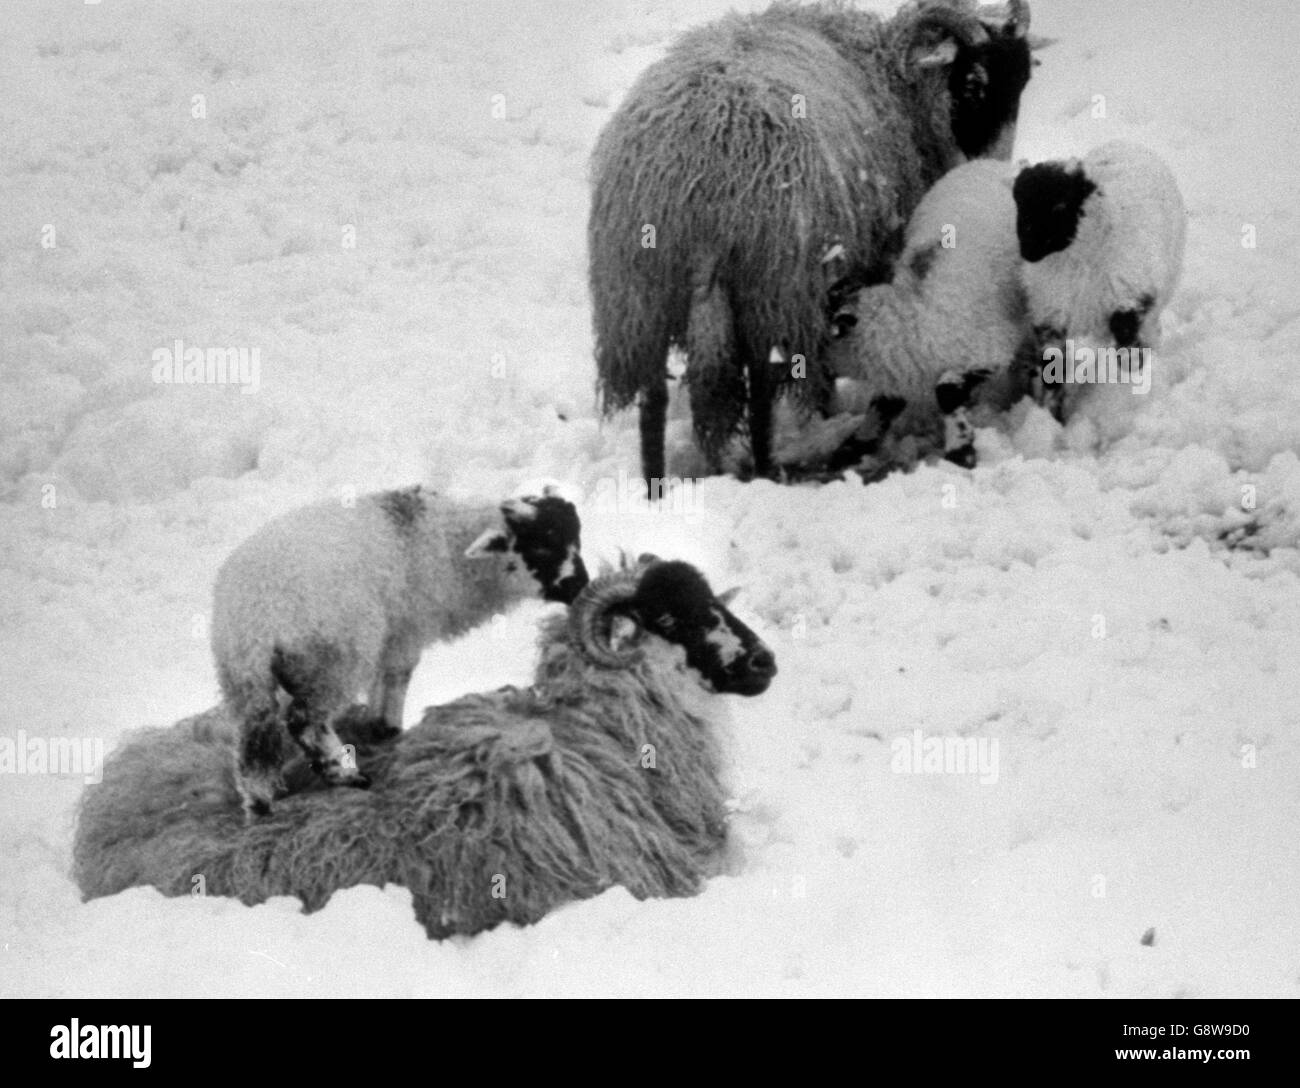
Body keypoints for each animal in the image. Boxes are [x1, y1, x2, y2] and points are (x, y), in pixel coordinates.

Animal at [821, 155, 1034, 467]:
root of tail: (989, 162)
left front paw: (961, 450)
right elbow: (883, 406)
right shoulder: (902, 367)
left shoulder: (985, 353)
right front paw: (853, 447)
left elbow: (945, 391)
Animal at [1013, 140, 1190, 421]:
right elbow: (1053, 373)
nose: (1028, 251)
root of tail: (1128, 143)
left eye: (1060, 206)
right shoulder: (1049, 317)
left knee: (1151, 331)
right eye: (1018, 203)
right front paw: (1054, 418)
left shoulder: (1129, 301)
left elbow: (1129, 355)